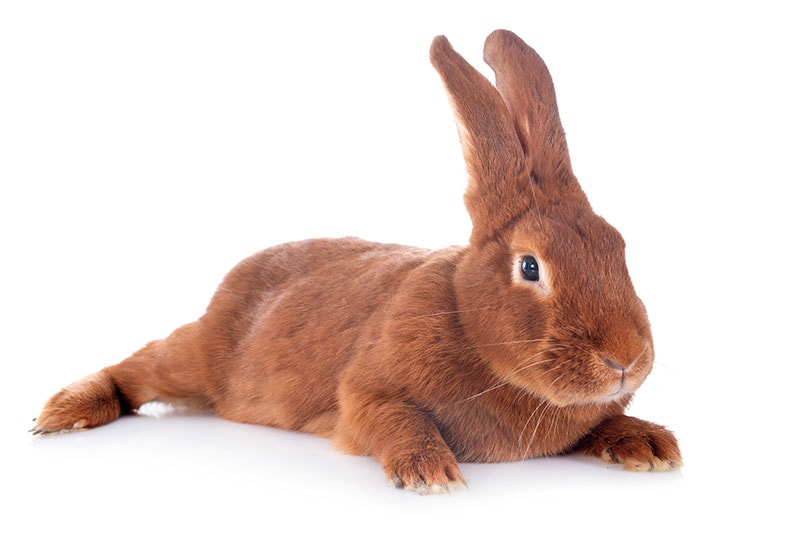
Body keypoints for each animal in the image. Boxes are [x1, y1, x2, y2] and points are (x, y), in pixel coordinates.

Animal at [32, 29, 681, 494]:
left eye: (618, 245)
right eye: (530, 267)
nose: (625, 359)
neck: (467, 323)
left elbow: (603, 424)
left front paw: (651, 447)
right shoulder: (365, 393)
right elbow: (396, 418)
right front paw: (429, 474)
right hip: (199, 358)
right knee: (137, 368)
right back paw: (63, 414)